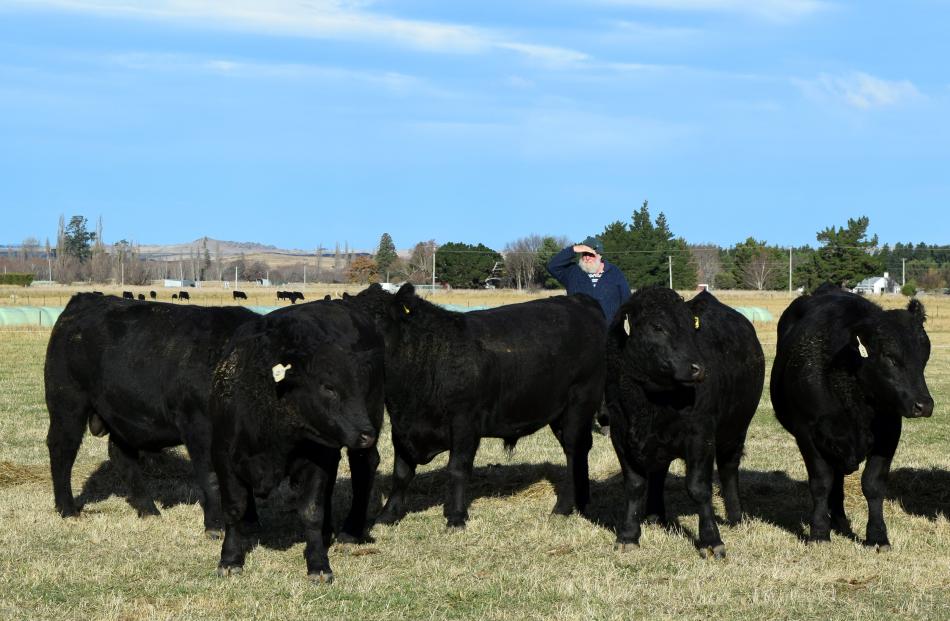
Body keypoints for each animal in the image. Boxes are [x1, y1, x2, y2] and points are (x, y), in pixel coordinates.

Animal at [46, 294, 258, 532]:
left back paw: (148, 510)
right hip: (67, 404)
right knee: (62, 449)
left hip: (122, 414)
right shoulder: (199, 428)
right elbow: (212, 476)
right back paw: (68, 510)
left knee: (121, 455)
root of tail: (83, 299)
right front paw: (216, 526)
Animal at [210, 300, 384, 580]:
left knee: (364, 466)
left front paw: (318, 564)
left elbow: (311, 511)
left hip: (372, 417)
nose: (366, 434)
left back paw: (350, 533)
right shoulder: (223, 455)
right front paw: (230, 558)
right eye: (328, 387)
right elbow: (235, 507)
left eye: (359, 384)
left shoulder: (316, 459)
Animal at [354, 280, 608, 528]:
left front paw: (456, 517)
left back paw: (562, 508)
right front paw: (388, 515)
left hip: (579, 405)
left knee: (575, 451)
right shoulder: (401, 425)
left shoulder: (465, 423)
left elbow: (457, 468)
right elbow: (401, 472)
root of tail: (579, 300)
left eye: (378, 316)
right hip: (559, 414)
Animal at [608, 288, 768, 560]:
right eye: (657, 326)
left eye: (691, 329)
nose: (698, 369)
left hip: (736, 430)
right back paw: (655, 516)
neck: (650, 402)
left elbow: (698, 487)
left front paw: (711, 541)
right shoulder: (620, 434)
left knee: (728, 469)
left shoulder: (700, 437)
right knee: (658, 472)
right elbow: (635, 484)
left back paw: (736, 516)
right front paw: (628, 535)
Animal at [768, 286, 932, 548]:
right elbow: (821, 482)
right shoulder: (807, 433)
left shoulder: (889, 433)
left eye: (924, 356)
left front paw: (877, 536)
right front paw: (819, 533)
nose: (924, 405)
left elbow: (873, 484)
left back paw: (840, 521)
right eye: (890, 357)